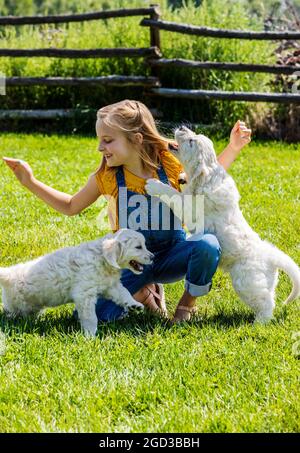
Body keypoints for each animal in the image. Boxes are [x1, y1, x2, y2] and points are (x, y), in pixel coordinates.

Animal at [0, 226, 154, 336]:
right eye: (138, 247)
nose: (153, 257)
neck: (102, 257)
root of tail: (8, 274)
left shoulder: (111, 286)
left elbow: (124, 293)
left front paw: (134, 305)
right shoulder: (85, 294)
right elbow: (90, 317)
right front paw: (90, 336)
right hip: (15, 305)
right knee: (10, 314)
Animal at [146, 123, 300, 322]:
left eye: (191, 141)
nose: (182, 127)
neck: (208, 177)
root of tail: (270, 255)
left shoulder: (190, 208)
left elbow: (173, 195)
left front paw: (154, 185)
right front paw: (182, 177)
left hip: (247, 282)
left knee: (266, 304)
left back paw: (259, 323)